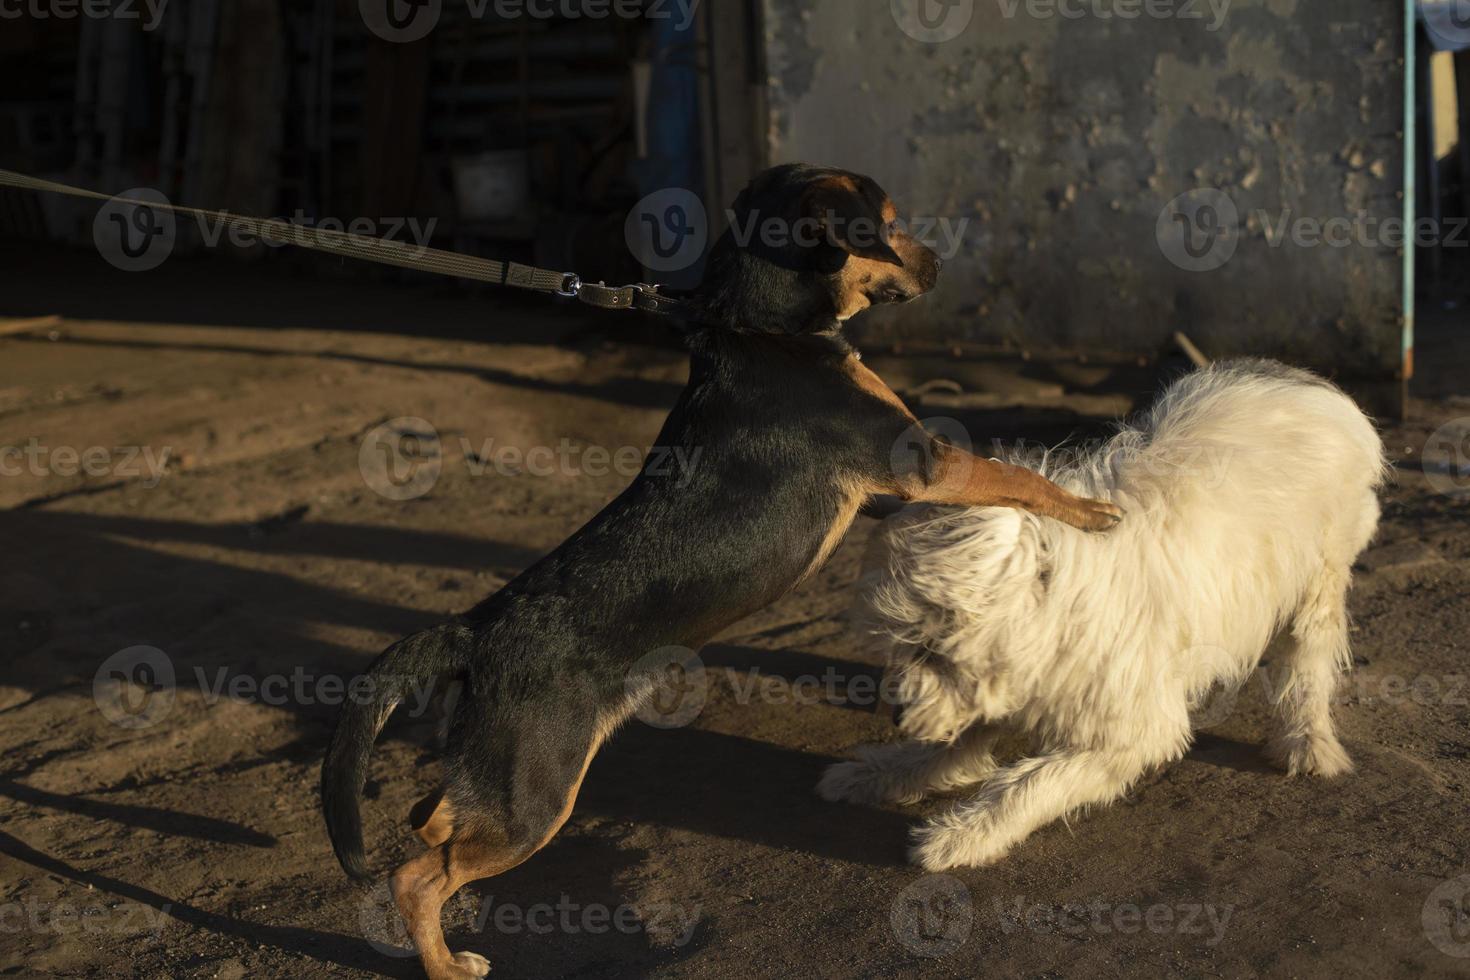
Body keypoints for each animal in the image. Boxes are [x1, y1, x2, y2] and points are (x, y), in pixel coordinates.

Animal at [324, 160, 1123, 975]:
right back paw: (447, 964)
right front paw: (1091, 510)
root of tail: (474, 631)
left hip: (502, 782)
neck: (756, 326)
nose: (938, 263)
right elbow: (1014, 475)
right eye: (890, 221)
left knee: (430, 817)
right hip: (536, 797)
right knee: (417, 876)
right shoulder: (920, 461)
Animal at [823, 359, 1381, 875]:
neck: (1054, 599)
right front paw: (881, 776)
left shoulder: (1129, 730)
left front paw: (960, 837)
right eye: (906, 646)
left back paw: (1308, 741)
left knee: (1307, 657)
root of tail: (1301, 379)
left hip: (1319, 578)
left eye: (933, 649)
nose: (897, 716)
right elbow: (956, 741)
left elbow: (1032, 783)